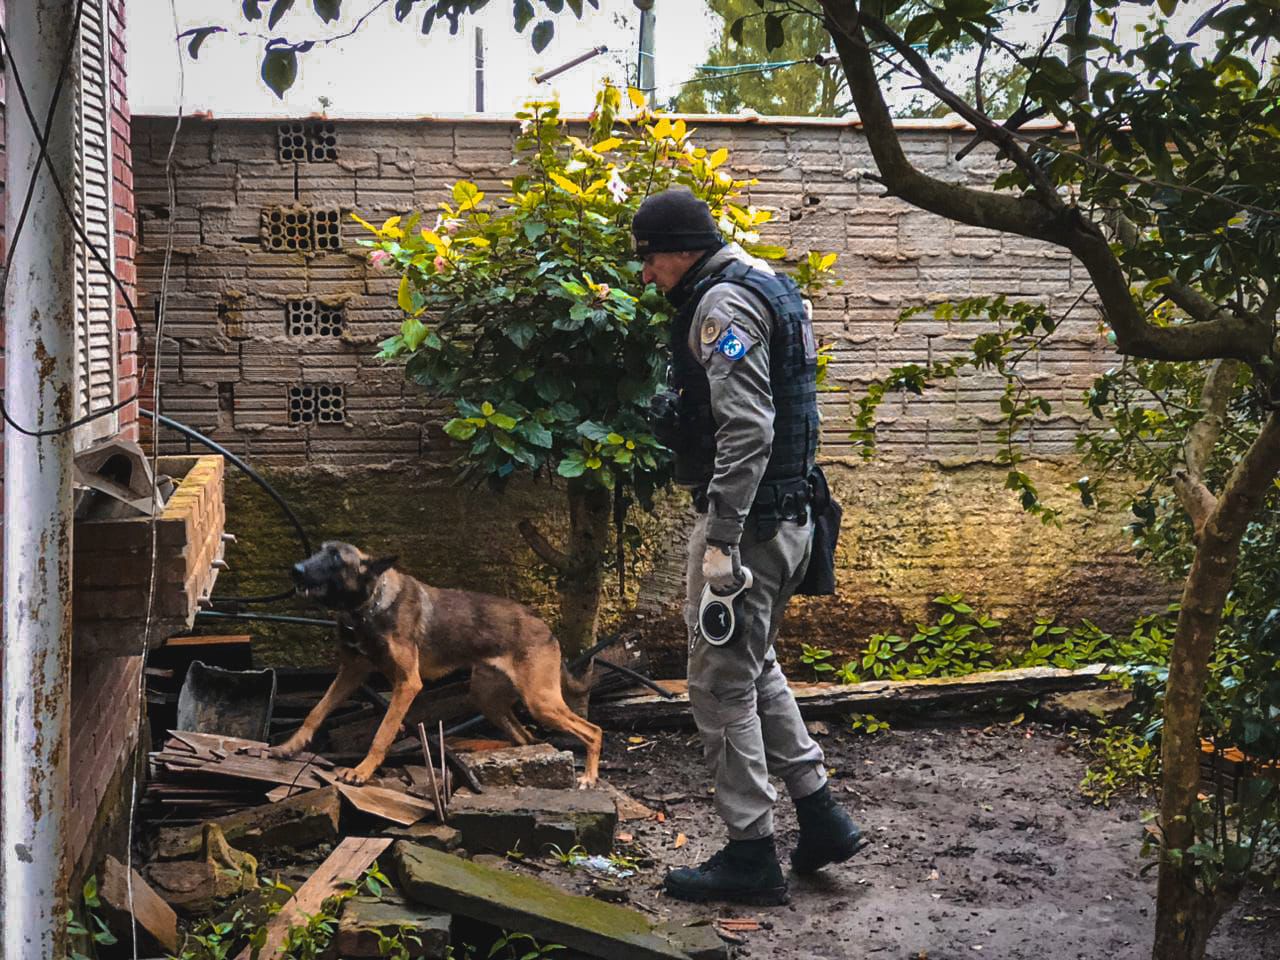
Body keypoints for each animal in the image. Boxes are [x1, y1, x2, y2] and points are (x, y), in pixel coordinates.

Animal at [272, 542, 601, 788]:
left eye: (336, 558)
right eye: (319, 551)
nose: (295, 569)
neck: (368, 606)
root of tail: (546, 628)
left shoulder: (408, 683)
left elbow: (382, 733)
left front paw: (361, 771)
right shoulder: (351, 673)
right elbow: (315, 712)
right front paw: (289, 746)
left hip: (540, 701)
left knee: (593, 730)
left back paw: (588, 777)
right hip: (487, 697)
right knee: (525, 737)